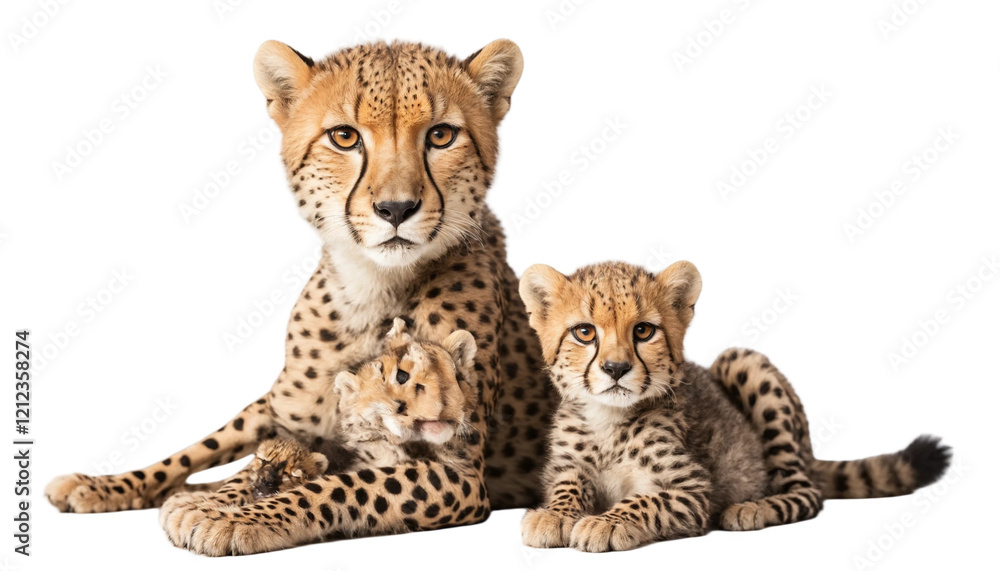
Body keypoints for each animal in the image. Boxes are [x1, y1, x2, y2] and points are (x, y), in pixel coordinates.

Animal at [45, 38, 553, 554]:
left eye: (442, 135)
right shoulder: (295, 426)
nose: (395, 208)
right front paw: (216, 503)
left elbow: (341, 487)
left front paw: (227, 516)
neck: (370, 287)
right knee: (195, 453)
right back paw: (99, 485)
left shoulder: (458, 471)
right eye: (344, 137)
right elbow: (246, 467)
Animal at [517, 260, 950, 552]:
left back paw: (752, 508)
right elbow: (567, 485)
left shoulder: (692, 490)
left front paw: (604, 523)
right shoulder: (567, 467)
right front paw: (554, 514)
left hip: (742, 362)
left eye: (643, 330)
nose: (616, 368)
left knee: (807, 491)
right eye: (584, 332)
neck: (608, 418)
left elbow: (643, 500)